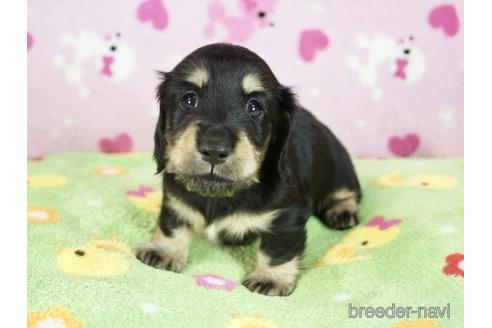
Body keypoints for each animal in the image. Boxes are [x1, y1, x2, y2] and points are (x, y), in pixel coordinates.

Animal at [136, 42, 360, 296]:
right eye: (189, 100)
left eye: (254, 107)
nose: (214, 150)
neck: (222, 195)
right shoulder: (175, 199)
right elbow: (173, 224)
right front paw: (164, 250)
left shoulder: (288, 213)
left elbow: (277, 248)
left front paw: (270, 278)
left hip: (339, 172)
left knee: (346, 193)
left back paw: (342, 211)